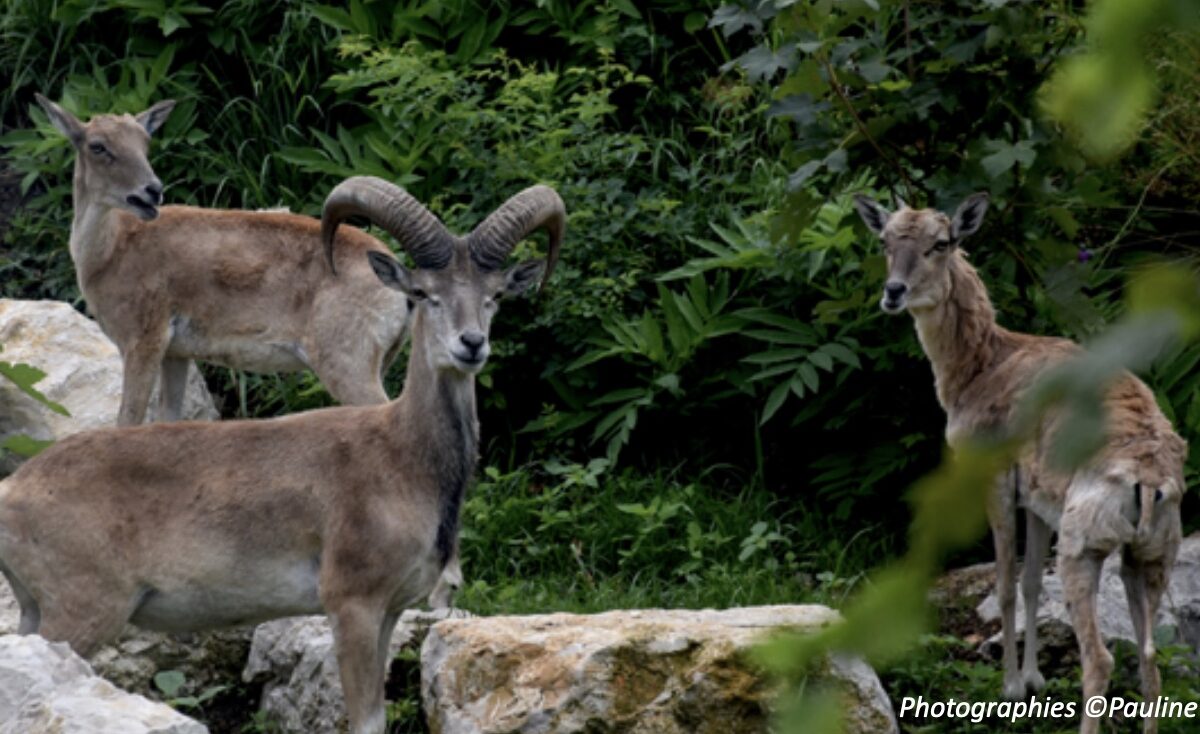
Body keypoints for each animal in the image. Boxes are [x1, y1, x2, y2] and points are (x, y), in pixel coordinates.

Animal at [0, 176, 566, 734]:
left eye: (495, 296)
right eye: (424, 293)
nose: (470, 345)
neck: (401, 456)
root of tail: (14, 490)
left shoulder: (389, 611)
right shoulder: (352, 604)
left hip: (35, 613)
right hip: (81, 611)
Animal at [35, 92, 410, 424]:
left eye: (144, 141)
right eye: (97, 145)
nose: (151, 191)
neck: (111, 250)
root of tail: (401, 285)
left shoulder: (143, 340)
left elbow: (128, 420)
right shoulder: (176, 352)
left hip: (348, 363)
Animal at [854, 190, 1180, 734]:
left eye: (942, 242)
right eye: (884, 240)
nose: (893, 292)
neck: (978, 368)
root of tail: (1152, 482)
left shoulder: (994, 479)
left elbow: (1006, 584)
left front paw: (1010, 688)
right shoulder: (1039, 498)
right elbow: (1029, 583)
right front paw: (1034, 680)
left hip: (1084, 546)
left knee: (1101, 658)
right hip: (1153, 555)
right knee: (1150, 657)